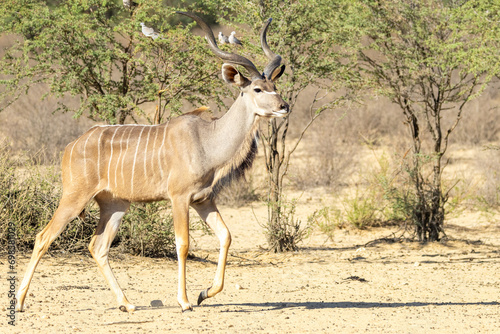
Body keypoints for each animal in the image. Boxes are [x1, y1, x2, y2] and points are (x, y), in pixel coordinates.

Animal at [16, 11, 290, 314]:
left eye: (274, 86)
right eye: (257, 89)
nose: (284, 106)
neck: (207, 140)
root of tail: (71, 146)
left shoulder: (203, 200)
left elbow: (225, 236)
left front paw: (204, 293)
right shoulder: (179, 198)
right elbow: (183, 244)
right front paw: (184, 301)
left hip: (115, 205)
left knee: (97, 246)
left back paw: (127, 304)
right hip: (74, 198)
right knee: (44, 237)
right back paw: (19, 301)